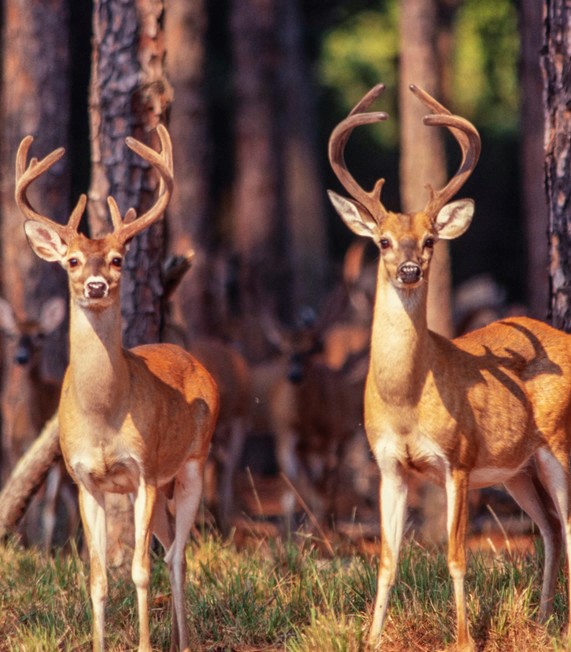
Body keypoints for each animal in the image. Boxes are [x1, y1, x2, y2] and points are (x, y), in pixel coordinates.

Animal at [15, 123, 221, 652]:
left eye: (117, 260)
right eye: (70, 260)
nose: (95, 285)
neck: (104, 413)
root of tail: (197, 362)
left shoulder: (143, 468)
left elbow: (140, 571)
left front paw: (146, 645)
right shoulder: (85, 478)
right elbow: (98, 577)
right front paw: (99, 643)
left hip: (191, 464)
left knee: (176, 555)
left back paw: (183, 641)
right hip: (149, 486)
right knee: (169, 549)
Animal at [328, 84, 571, 648]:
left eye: (431, 240)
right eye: (382, 240)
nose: (409, 269)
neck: (407, 401)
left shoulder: (457, 459)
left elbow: (457, 556)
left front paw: (462, 638)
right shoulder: (388, 464)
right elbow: (387, 560)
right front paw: (372, 638)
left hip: (558, 442)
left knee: (568, 526)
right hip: (518, 468)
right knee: (550, 529)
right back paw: (544, 619)